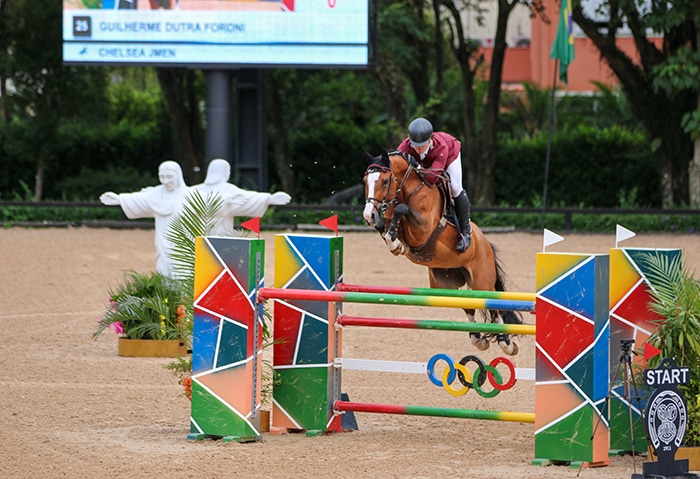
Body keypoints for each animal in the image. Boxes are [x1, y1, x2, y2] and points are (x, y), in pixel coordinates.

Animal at [364, 150, 524, 356]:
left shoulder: (423, 228)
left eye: (384, 181)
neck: (408, 190)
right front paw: (395, 242)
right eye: (365, 180)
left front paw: (395, 241)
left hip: (482, 281)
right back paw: (477, 339)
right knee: (467, 305)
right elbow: (384, 225)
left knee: (494, 305)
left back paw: (506, 343)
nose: (368, 215)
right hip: (446, 283)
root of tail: (486, 243)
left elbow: (402, 209)